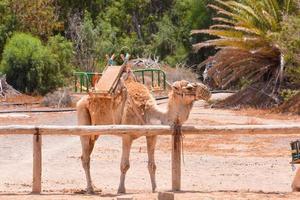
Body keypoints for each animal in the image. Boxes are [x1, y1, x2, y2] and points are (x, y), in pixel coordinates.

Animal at [76, 70, 211, 194]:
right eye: (189, 87)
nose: (207, 91)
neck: (147, 113)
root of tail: (80, 100)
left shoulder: (152, 135)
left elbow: (152, 165)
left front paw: (155, 189)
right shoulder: (127, 135)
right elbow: (124, 165)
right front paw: (121, 190)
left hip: (95, 132)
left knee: (86, 155)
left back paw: (94, 187)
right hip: (83, 118)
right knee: (85, 158)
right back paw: (90, 189)